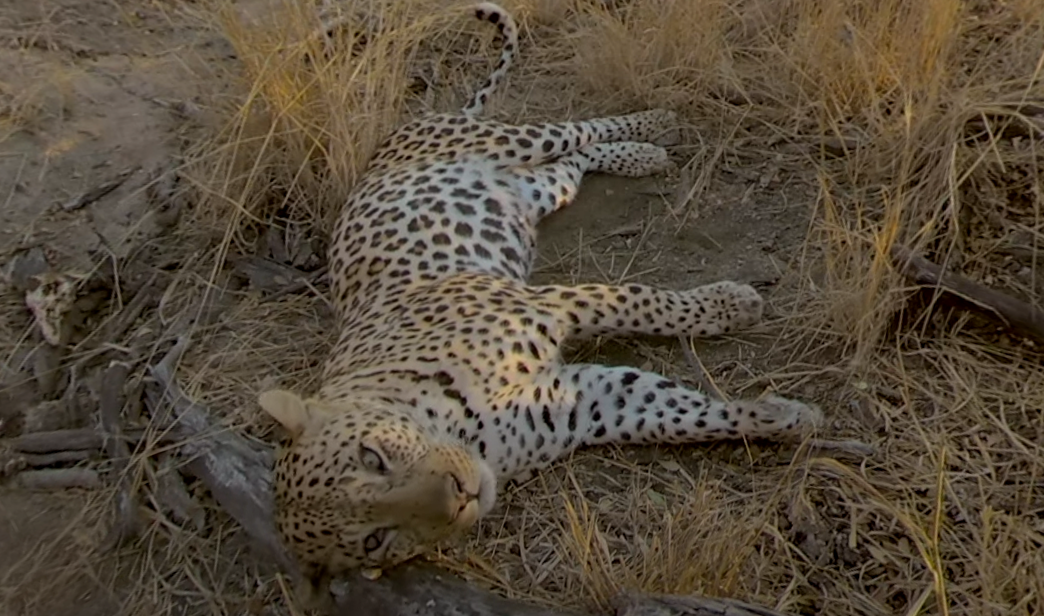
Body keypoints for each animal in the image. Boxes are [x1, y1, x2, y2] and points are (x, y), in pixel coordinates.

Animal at [257, 2, 824, 608]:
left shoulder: (550, 304)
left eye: (373, 457)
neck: (462, 425)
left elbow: (647, 303)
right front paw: (779, 416)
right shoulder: (585, 404)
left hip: (509, 140)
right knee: (572, 164)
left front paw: (730, 306)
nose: (461, 493)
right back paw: (641, 155)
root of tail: (402, 132)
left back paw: (654, 127)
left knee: (577, 130)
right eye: (374, 540)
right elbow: (678, 415)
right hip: (533, 190)